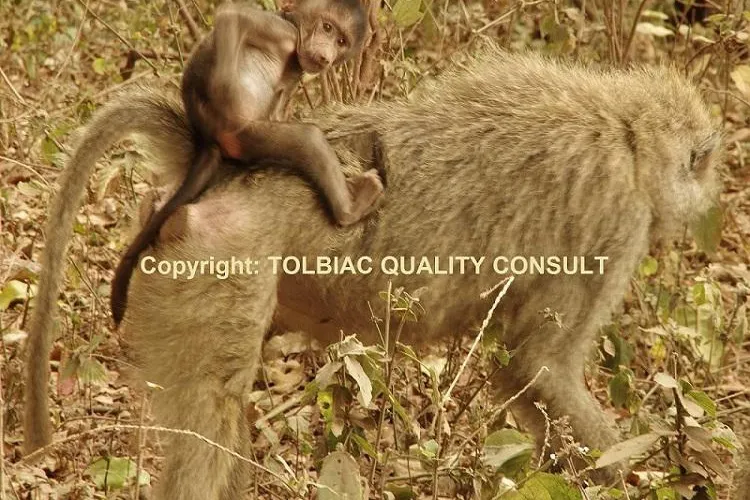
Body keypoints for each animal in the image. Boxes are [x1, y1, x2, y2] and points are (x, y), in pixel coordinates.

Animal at [25, 48, 722, 499]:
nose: (707, 204)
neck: (629, 131)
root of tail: (216, 165)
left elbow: (521, 373)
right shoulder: (616, 222)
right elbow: (538, 367)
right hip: (224, 264)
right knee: (213, 416)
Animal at [109, 0, 383, 326]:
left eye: (341, 42)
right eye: (327, 28)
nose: (326, 55)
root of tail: (209, 140)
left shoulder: (297, 71)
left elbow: (279, 102)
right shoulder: (283, 33)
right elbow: (232, 18)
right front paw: (225, 88)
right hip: (242, 136)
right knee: (308, 139)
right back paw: (349, 210)